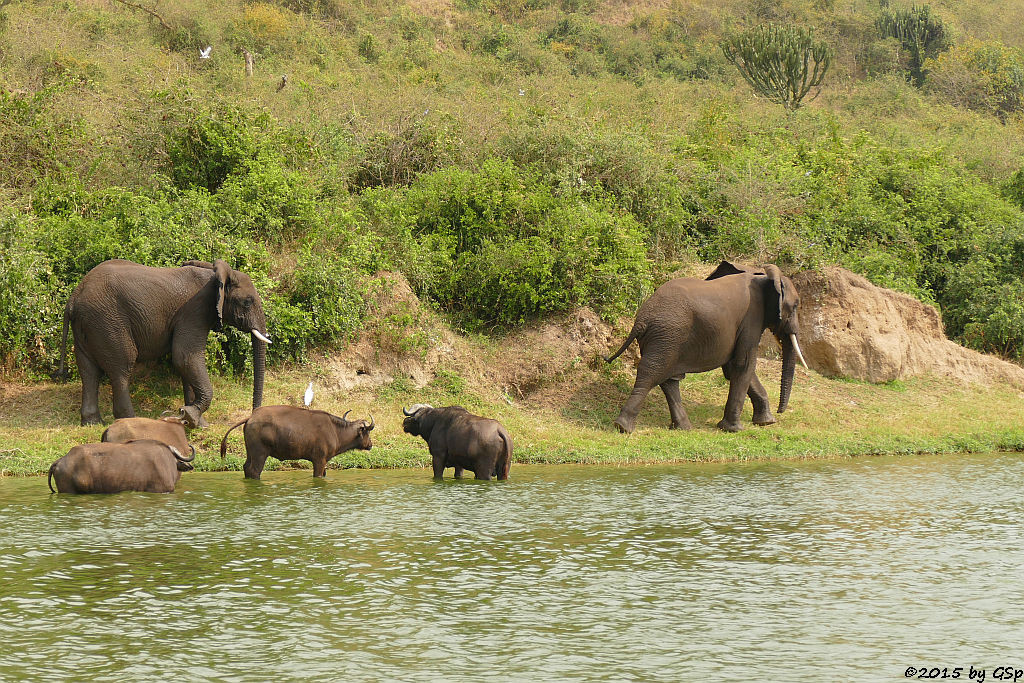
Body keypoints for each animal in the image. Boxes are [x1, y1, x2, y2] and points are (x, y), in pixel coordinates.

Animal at [220, 405, 376, 481]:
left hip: (250, 453)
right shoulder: (319, 461)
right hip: (260, 454)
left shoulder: (324, 461)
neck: (335, 430)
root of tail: (251, 417)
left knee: (246, 467)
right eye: (368, 432)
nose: (370, 445)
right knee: (254, 470)